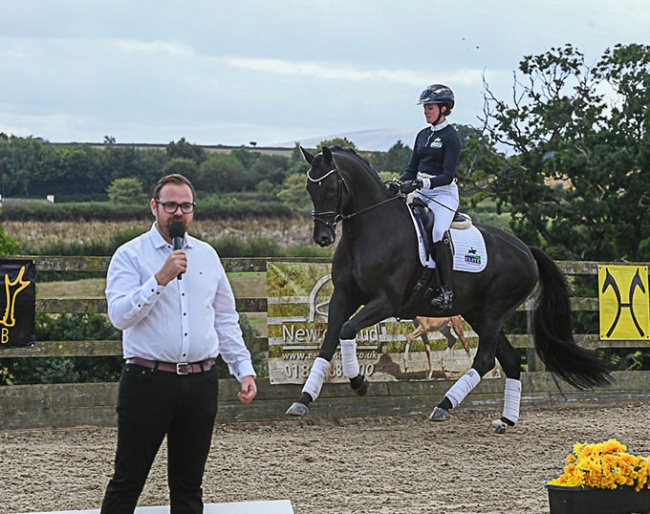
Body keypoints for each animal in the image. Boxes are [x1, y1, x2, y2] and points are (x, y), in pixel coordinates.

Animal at [286, 145, 612, 432]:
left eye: (330, 188)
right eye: (309, 188)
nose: (323, 237)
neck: (369, 231)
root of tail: (527, 251)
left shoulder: (386, 302)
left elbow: (348, 330)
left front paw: (359, 382)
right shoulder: (343, 296)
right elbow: (329, 341)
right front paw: (303, 400)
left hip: (494, 311)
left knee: (485, 359)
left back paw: (444, 406)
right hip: (477, 313)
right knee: (507, 360)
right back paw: (505, 421)